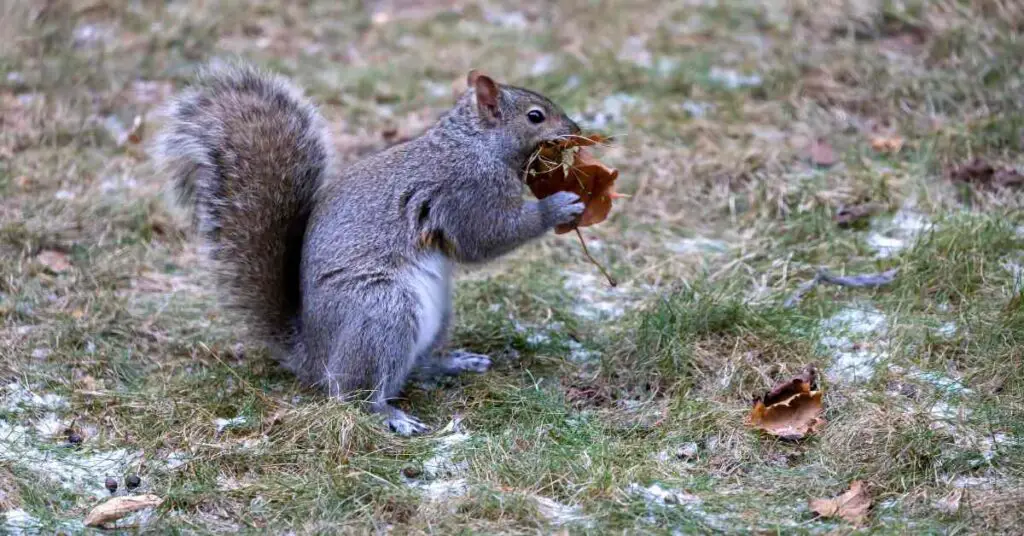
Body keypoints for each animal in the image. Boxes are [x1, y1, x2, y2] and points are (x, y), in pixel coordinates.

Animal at [154, 60, 585, 435]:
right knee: (354, 395)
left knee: (414, 366)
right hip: (381, 312)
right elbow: (485, 238)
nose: (577, 129)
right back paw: (391, 416)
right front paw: (559, 205)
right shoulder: (467, 191)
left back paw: (451, 363)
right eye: (535, 116)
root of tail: (314, 356)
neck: (475, 143)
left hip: (435, 313)